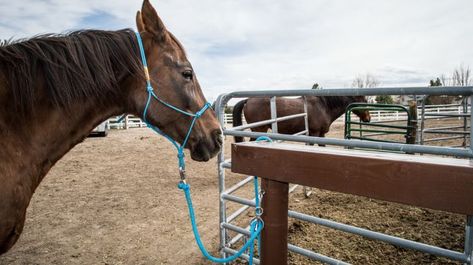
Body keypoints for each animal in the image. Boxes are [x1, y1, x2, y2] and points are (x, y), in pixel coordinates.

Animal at [231, 95, 368, 142]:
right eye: (365, 101)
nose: (368, 118)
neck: (324, 106)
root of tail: (247, 100)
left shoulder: (321, 134)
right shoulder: (314, 133)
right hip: (259, 129)